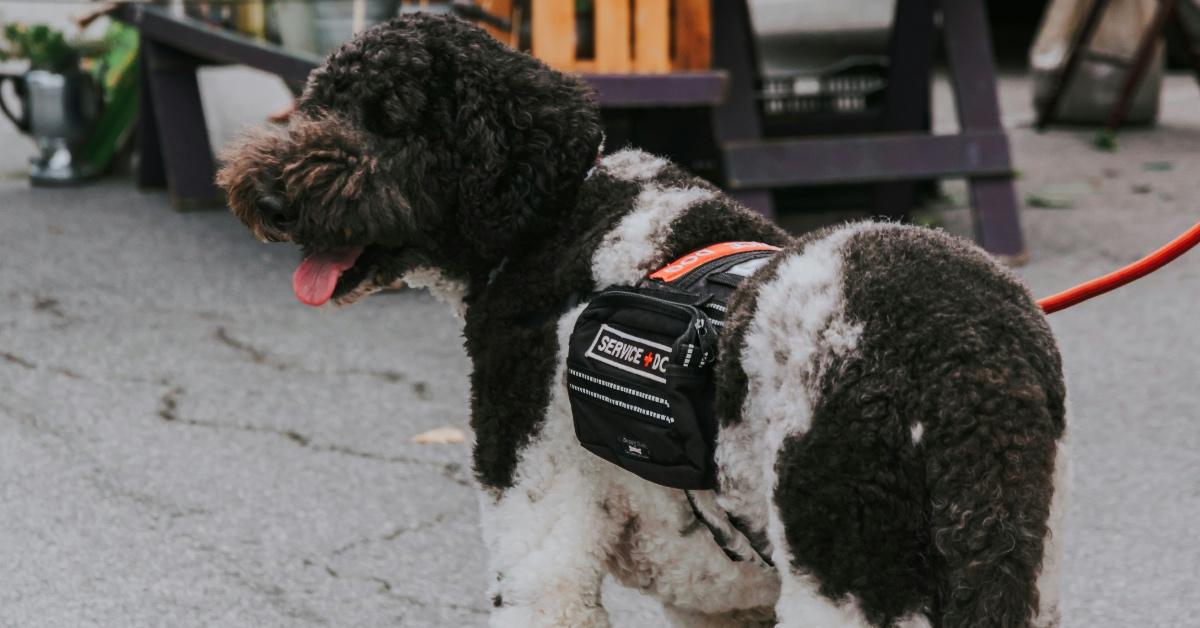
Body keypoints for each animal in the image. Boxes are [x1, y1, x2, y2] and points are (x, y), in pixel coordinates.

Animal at [223, 14, 1070, 628]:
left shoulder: (542, 553)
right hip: (1009, 570)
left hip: (852, 579)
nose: (267, 198)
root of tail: (970, 369)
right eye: (318, 103)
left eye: (390, 120)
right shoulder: (716, 600)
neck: (554, 217)